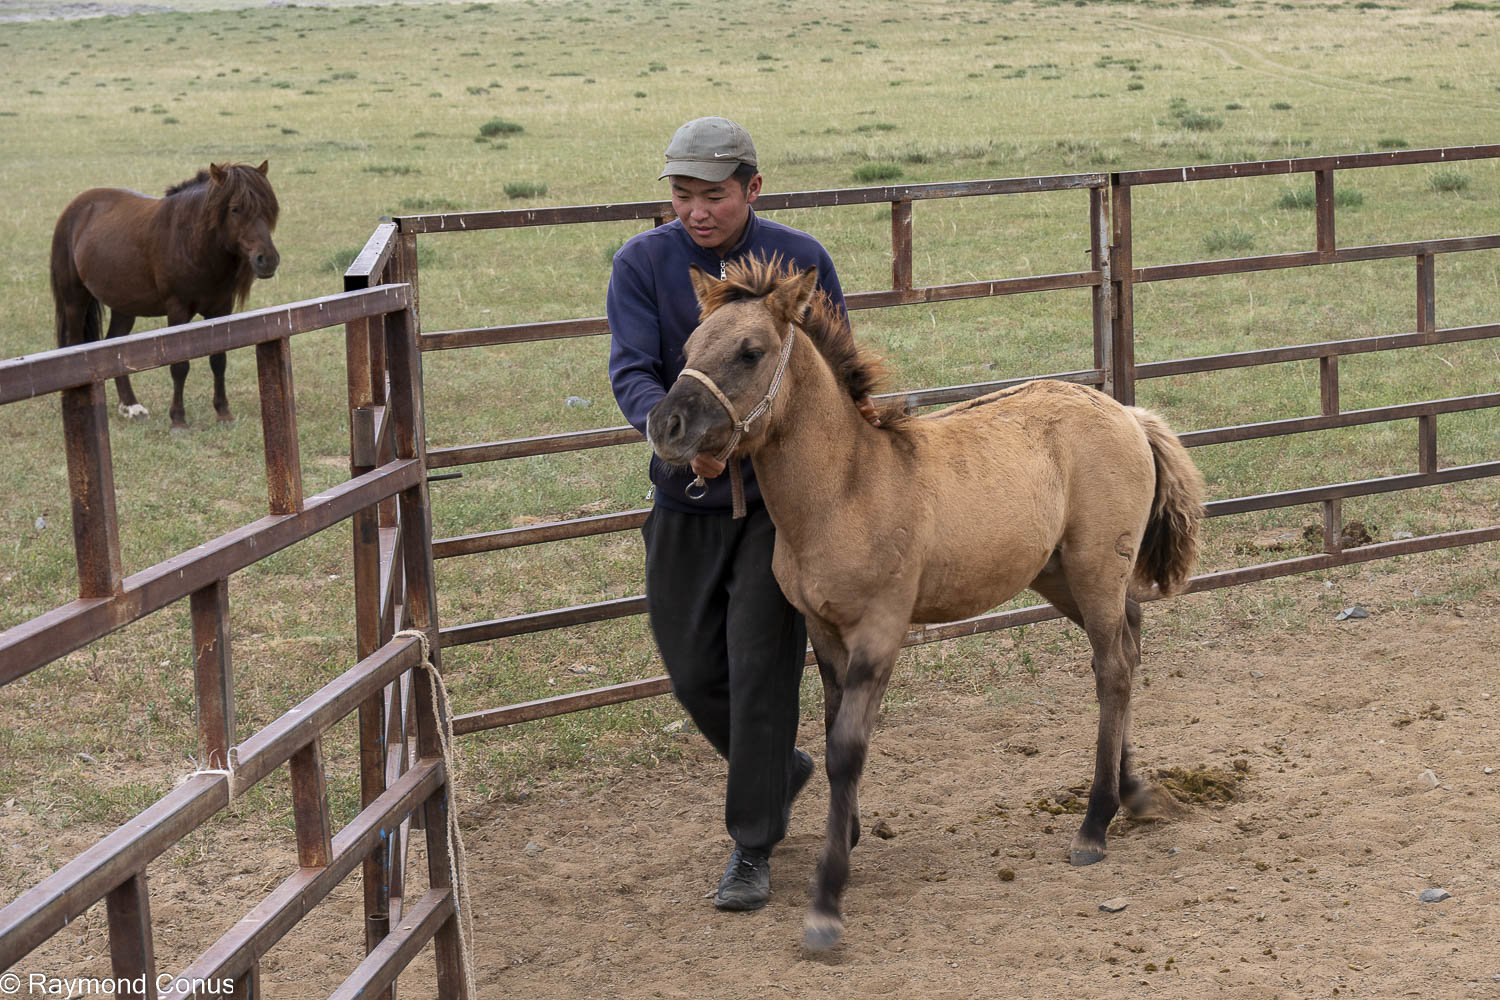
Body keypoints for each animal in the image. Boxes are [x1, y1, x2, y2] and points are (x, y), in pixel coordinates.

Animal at [50, 161, 281, 428]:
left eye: (268, 208)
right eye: (235, 209)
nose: (267, 260)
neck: (193, 242)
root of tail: (76, 207)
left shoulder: (220, 310)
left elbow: (218, 360)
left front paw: (223, 412)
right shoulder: (177, 310)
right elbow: (179, 365)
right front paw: (178, 419)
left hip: (124, 307)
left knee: (114, 345)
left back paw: (131, 406)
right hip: (74, 301)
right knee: (75, 344)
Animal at [646, 255, 1206, 951]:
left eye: (750, 351)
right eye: (690, 347)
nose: (665, 426)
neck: (847, 490)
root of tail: (1127, 413)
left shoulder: (882, 629)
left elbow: (847, 748)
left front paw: (828, 898)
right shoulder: (822, 630)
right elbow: (830, 731)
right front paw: (848, 836)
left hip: (1097, 569)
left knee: (1114, 670)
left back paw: (1094, 824)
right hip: (1061, 578)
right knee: (1127, 652)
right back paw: (1133, 792)